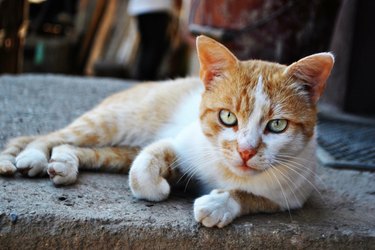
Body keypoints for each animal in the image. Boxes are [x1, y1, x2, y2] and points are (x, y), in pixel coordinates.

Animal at [0, 35, 334, 229]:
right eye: (227, 117)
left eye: (277, 125)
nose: (246, 151)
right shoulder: (179, 143)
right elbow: (145, 166)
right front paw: (159, 186)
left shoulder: (292, 194)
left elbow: (256, 198)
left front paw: (219, 204)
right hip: (114, 121)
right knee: (51, 137)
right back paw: (33, 157)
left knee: (85, 150)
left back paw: (64, 163)